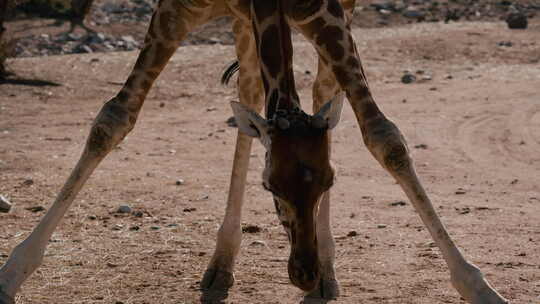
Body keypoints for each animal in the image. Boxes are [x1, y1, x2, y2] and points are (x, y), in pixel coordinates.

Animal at [0, 0, 506, 302]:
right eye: (270, 187)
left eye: (331, 180)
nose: (303, 273)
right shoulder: (175, 9)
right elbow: (111, 121)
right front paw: (12, 274)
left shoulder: (327, 12)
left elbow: (386, 139)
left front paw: (479, 287)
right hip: (240, 16)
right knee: (247, 88)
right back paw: (222, 265)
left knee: (318, 89)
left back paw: (326, 268)